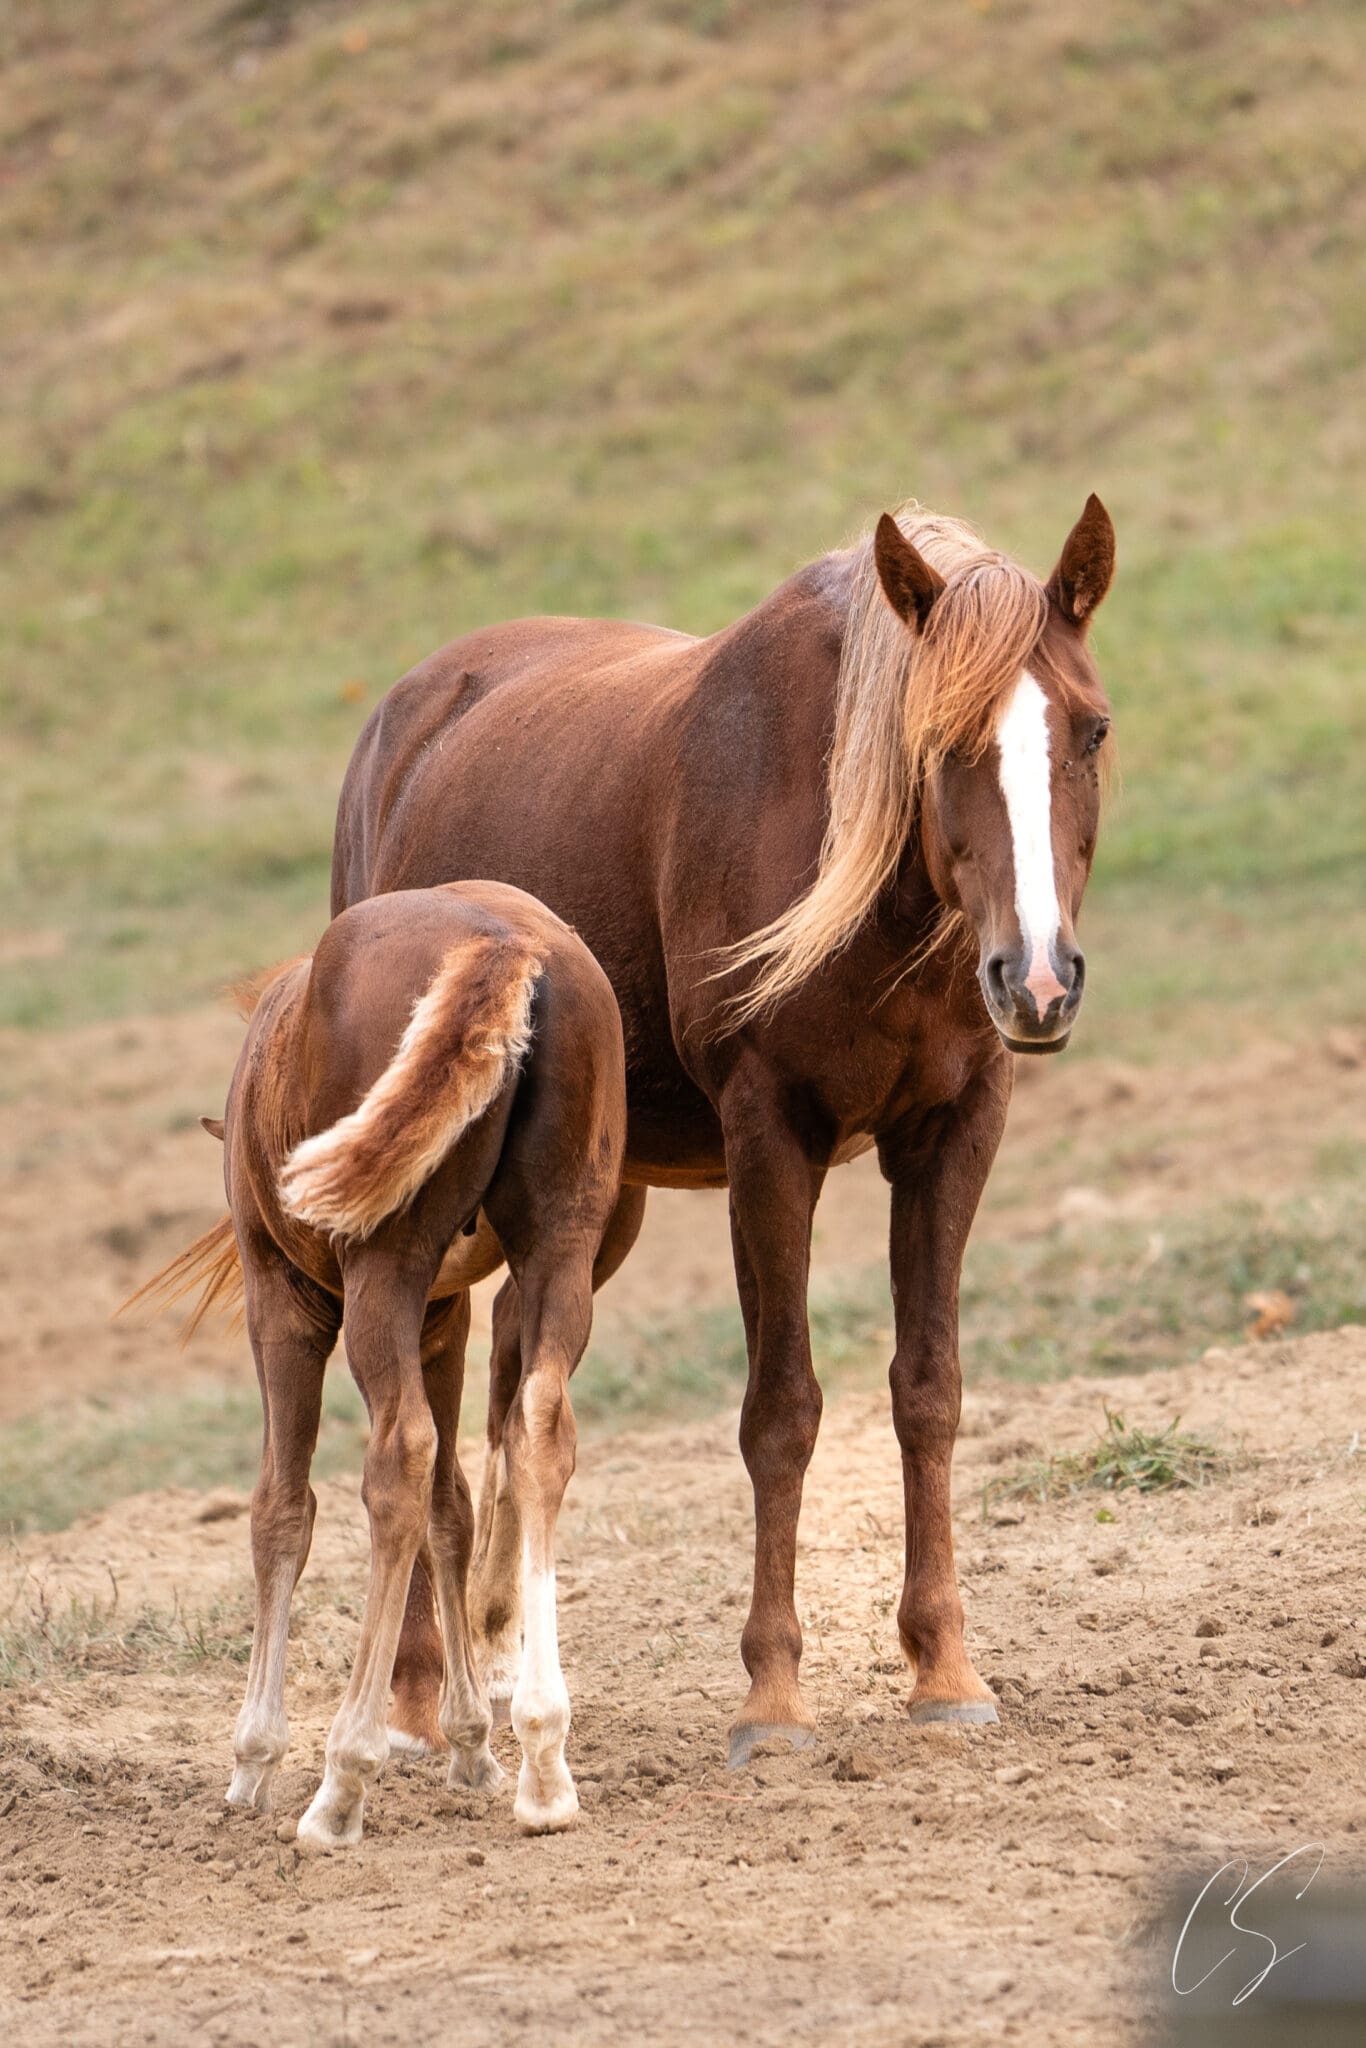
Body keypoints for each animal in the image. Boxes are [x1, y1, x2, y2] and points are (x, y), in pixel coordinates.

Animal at [131, 882, 625, 1845]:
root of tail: (503, 943)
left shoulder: (281, 1306)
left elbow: (282, 1510)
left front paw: (253, 1760)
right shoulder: (445, 1319)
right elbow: (452, 1510)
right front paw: (472, 1744)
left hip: (378, 1274)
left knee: (397, 1457)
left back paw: (341, 1782)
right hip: (558, 1249)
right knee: (538, 1433)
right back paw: (544, 1762)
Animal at [329, 495, 1116, 1769]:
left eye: (1089, 730)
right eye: (935, 742)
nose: (1037, 979)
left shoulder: (954, 1131)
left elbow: (928, 1389)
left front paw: (944, 1668)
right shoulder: (768, 1142)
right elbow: (780, 1411)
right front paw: (774, 1697)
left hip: (595, 1201)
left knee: (507, 1383)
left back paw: (498, 1662)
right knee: (424, 1399)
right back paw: (411, 1698)